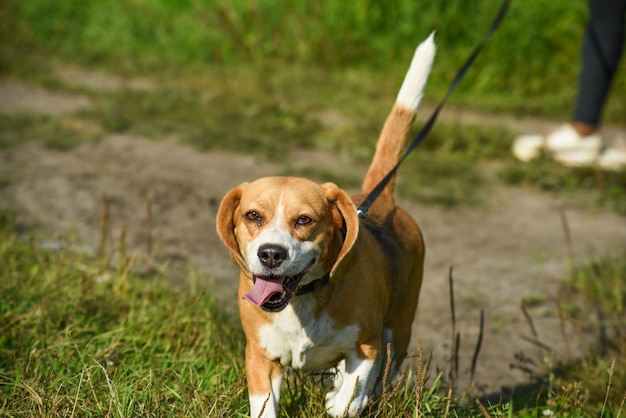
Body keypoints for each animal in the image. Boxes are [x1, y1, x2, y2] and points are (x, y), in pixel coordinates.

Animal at [217, 33, 432, 418]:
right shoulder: (259, 358)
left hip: (400, 328)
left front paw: (341, 400)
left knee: (385, 370)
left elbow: (351, 397)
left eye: (305, 219)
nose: (271, 254)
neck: (301, 300)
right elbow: (264, 405)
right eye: (253, 216)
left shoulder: (367, 346)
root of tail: (383, 199)